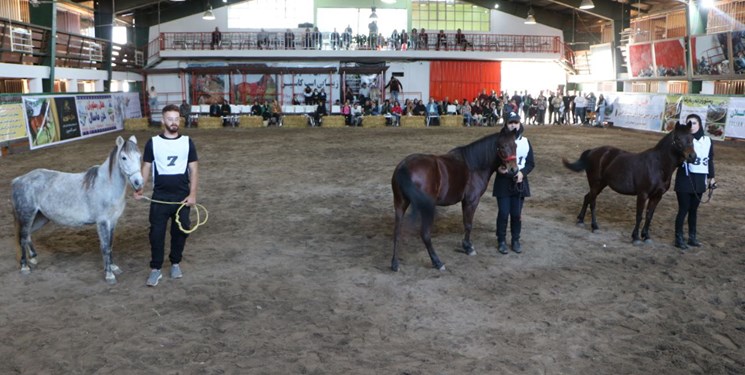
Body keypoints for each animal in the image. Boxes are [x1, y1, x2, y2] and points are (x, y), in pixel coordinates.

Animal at [10, 136, 143, 284]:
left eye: (139, 156)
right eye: (124, 157)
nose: (138, 183)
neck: (106, 186)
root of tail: (19, 180)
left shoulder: (113, 221)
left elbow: (110, 245)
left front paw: (114, 267)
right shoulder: (102, 222)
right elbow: (104, 247)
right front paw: (109, 275)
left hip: (41, 217)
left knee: (28, 234)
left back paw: (33, 258)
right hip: (27, 215)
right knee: (22, 237)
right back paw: (25, 266)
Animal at [390, 127, 516, 274]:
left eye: (515, 145)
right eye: (503, 146)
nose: (514, 169)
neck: (474, 166)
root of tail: (404, 167)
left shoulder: (464, 202)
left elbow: (465, 223)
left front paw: (466, 245)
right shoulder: (471, 201)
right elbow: (468, 224)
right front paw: (468, 247)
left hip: (400, 204)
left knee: (397, 232)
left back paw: (395, 263)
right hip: (425, 208)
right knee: (425, 234)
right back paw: (437, 262)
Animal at [564, 123, 696, 245]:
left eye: (692, 138)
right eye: (678, 138)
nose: (693, 157)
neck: (658, 166)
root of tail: (593, 151)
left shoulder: (657, 196)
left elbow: (649, 215)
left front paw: (646, 236)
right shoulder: (642, 194)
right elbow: (639, 215)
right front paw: (636, 237)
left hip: (601, 184)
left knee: (587, 197)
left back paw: (580, 220)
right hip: (595, 183)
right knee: (592, 202)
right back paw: (594, 226)